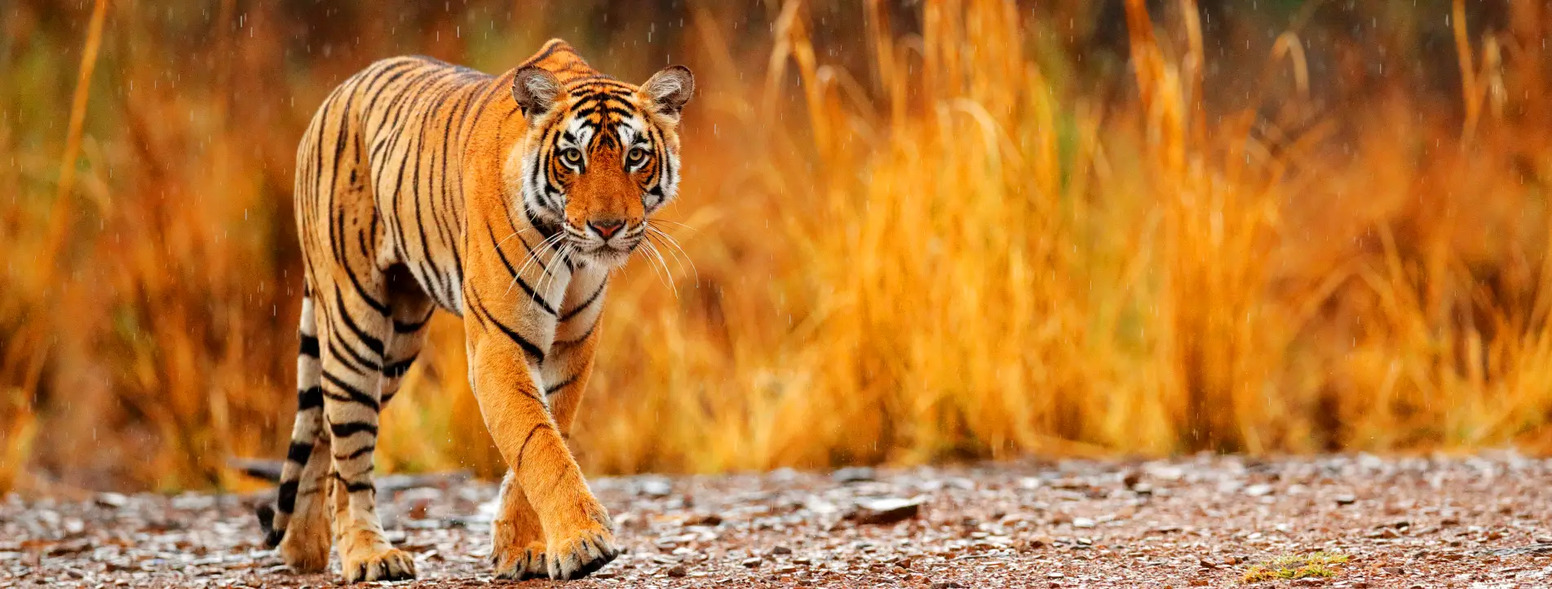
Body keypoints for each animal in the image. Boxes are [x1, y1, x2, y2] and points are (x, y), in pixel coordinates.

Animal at [253, 39, 693, 582]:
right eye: (573, 157)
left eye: (636, 156)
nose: (607, 227)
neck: (572, 255)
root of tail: (334, 95)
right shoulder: (500, 344)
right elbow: (537, 443)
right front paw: (584, 541)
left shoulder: (571, 347)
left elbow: (546, 435)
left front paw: (520, 548)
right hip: (355, 323)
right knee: (349, 450)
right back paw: (370, 555)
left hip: (398, 342)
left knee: (323, 433)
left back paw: (303, 549)